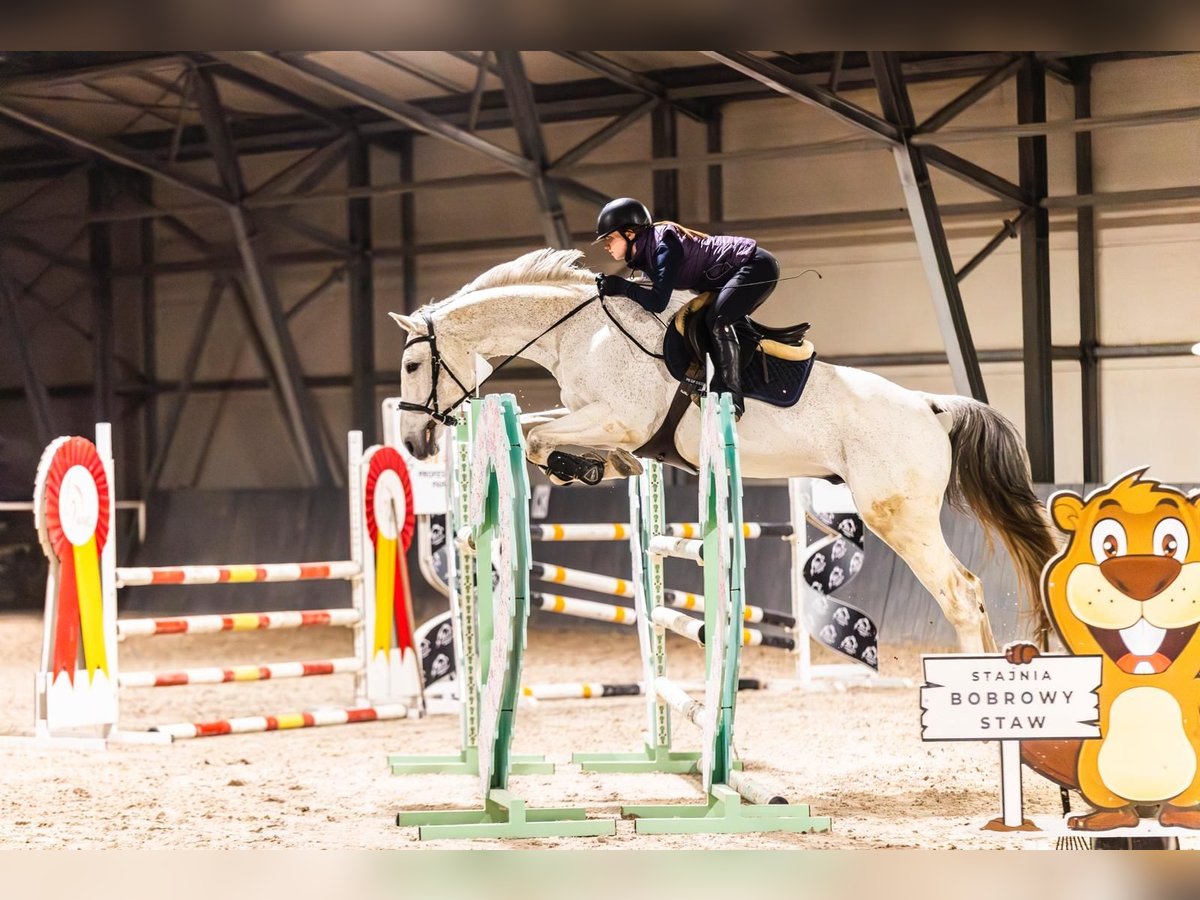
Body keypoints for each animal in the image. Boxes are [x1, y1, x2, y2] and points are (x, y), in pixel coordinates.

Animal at [388, 248, 1056, 657]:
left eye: (413, 365)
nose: (416, 442)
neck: (581, 331)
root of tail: (929, 405)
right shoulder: (591, 415)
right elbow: (535, 426)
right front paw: (602, 467)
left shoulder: (618, 417)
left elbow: (536, 437)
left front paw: (580, 466)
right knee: (969, 592)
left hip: (899, 516)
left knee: (961, 594)